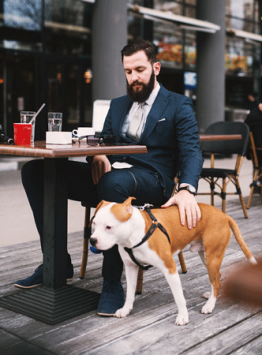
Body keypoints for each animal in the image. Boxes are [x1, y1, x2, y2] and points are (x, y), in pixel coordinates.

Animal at [89, 197, 256, 326]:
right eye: (94, 224)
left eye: (109, 227)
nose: (92, 240)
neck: (135, 234)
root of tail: (224, 215)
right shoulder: (130, 267)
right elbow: (130, 292)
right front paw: (126, 309)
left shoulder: (169, 268)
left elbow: (179, 297)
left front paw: (183, 316)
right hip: (206, 256)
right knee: (217, 278)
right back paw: (210, 296)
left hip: (212, 257)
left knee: (216, 281)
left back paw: (209, 305)